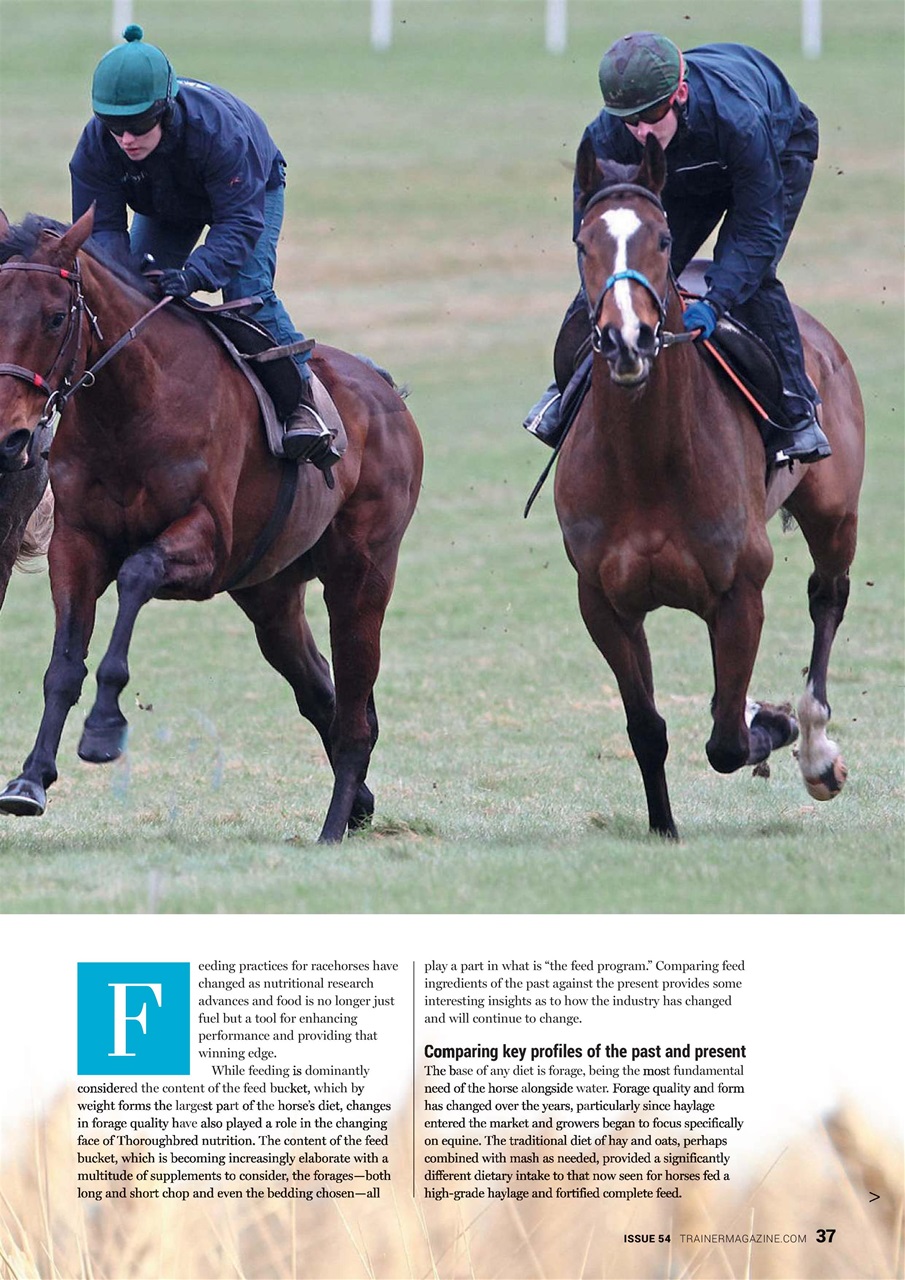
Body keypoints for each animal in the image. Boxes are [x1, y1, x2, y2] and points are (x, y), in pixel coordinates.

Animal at [0, 206, 423, 843]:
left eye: (55, 317)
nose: (10, 436)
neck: (130, 407)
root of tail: (384, 392)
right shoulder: (75, 545)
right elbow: (64, 662)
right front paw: (30, 779)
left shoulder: (207, 546)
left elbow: (137, 572)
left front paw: (103, 727)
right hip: (271, 595)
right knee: (320, 693)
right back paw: (359, 806)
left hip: (362, 577)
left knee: (354, 712)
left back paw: (332, 827)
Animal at [552, 135, 864, 839]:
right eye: (583, 242)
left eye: (664, 239)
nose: (627, 339)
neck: (646, 462)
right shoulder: (602, 602)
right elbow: (647, 728)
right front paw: (663, 827)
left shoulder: (739, 590)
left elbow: (725, 741)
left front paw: (773, 724)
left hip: (835, 513)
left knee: (827, 598)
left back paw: (813, 746)